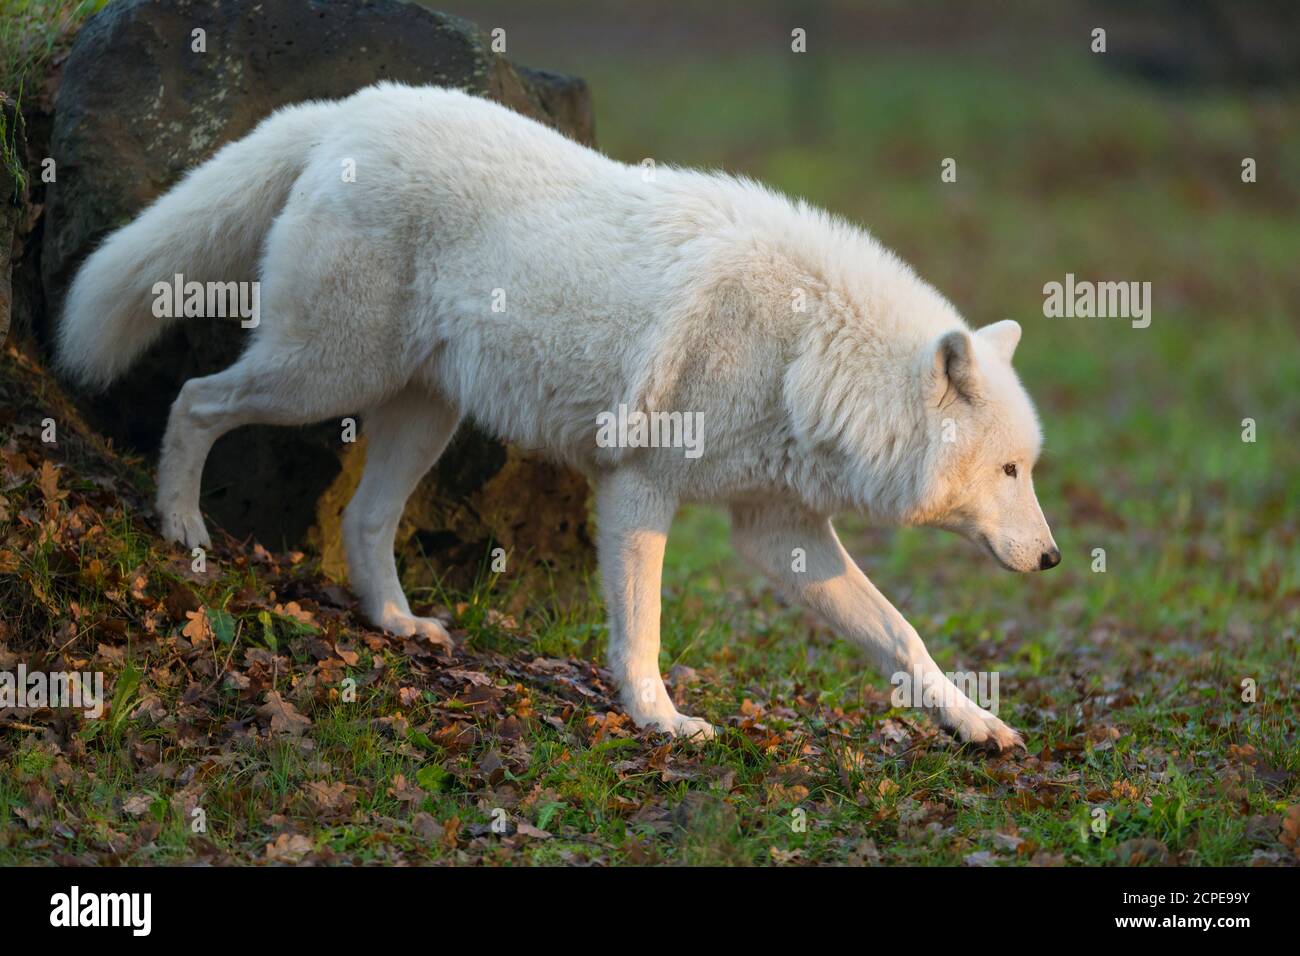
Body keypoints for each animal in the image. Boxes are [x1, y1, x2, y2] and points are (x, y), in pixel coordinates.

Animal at [55, 83, 1060, 749]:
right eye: (1009, 471)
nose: (1054, 558)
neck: (806, 351)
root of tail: (346, 108)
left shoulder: (779, 531)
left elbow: (903, 635)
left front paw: (977, 722)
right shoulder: (640, 489)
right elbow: (642, 627)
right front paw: (659, 717)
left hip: (420, 416)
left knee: (363, 518)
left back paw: (398, 625)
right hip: (322, 376)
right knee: (196, 400)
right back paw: (181, 525)